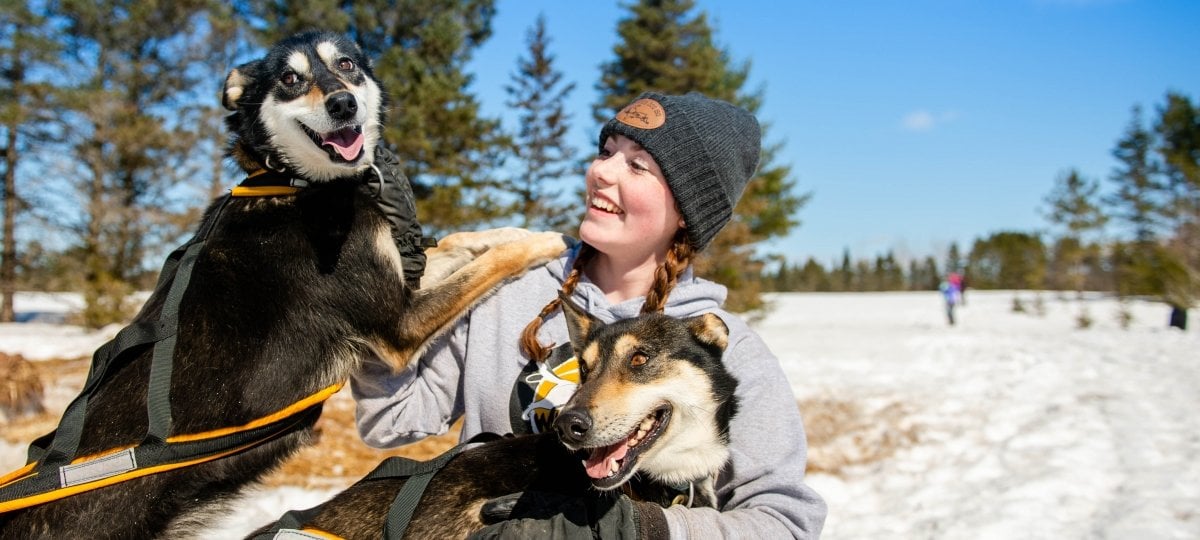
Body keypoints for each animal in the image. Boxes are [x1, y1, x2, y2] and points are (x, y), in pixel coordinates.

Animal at [0, 30, 568, 540]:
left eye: (346, 65)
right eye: (291, 79)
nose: (342, 103)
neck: (298, 185)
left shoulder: (401, 277)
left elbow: (467, 241)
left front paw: (517, 230)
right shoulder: (400, 324)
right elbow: (489, 263)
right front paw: (545, 241)